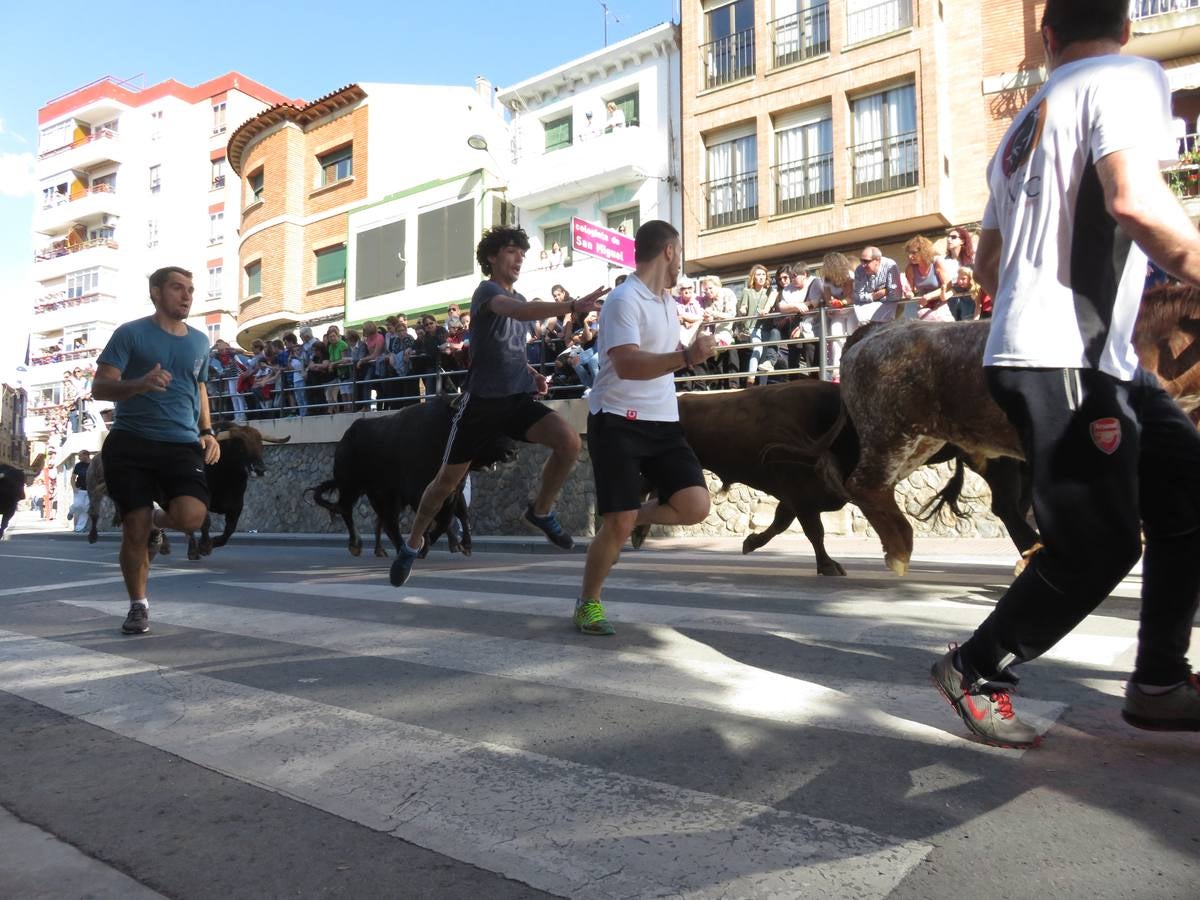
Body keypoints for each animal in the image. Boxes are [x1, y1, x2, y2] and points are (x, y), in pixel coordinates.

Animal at [309, 400, 516, 561]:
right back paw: (357, 545)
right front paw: (428, 545)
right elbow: (436, 519)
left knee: (385, 521)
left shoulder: (453, 493)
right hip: (352, 486)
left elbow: (455, 517)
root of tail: (345, 437)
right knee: (348, 511)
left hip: (380, 495)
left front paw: (462, 546)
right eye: (483, 425)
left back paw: (388, 549)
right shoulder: (418, 493)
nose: (511, 451)